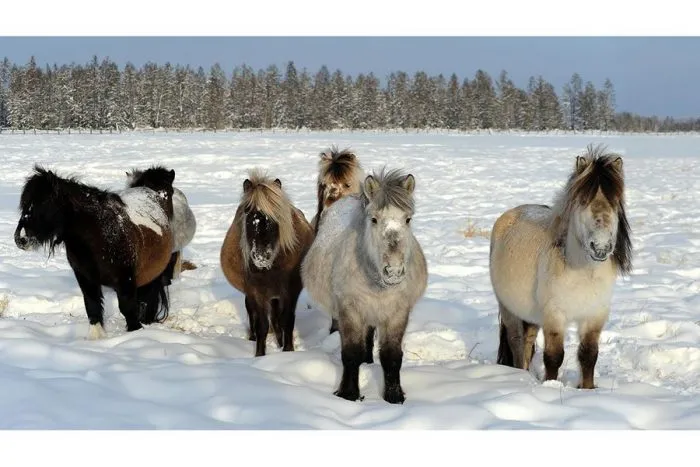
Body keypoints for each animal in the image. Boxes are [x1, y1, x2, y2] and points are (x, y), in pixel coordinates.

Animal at [13, 165, 176, 340]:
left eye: (44, 201)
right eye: (24, 203)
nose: (20, 238)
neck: (100, 235)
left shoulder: (126, 280)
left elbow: (128, 309)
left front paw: (135, 333)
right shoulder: (85, 278)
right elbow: (92, 306)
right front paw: (96, 338)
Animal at [221, 170, 314, 356]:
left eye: (275, 216)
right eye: (248, 214)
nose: (261, 255)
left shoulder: (290, 291)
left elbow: (286, 321)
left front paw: (287, 350)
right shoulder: (257, 293)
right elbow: (262, 325)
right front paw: (259, 355)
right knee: (253, 314)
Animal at [304, 169, 430, 406]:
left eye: (407, 219)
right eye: (374, 219)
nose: (393, 271)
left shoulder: (397, 313)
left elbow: (392, 356)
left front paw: (394, 397)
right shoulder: (350, 311)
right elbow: (351, 354)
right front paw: (349, 394)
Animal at [490, 144, 632, 392]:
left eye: (615, 203)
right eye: (583, 201)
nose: (601, 247)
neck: (584, 273)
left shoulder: (595, 316)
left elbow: (589, 355)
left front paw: (587, 389)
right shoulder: (554, 315)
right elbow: (554, 356)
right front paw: (551, 385)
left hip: (531, 315)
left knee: (527, 342)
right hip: (508, 308)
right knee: (516, 342)